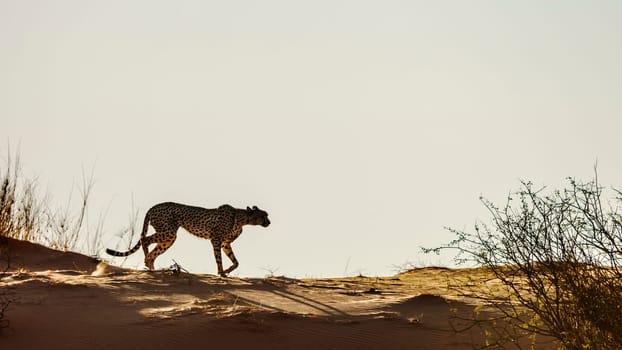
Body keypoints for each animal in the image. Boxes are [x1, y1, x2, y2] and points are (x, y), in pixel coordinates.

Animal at [106, 202, 270, 276]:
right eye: (263, 215)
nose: (269, 222)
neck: (242, 218)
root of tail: (154, 206)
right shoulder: (216, 240)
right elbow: (219, 259)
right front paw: (221, 272)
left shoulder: (225, 243)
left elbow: (236, 262)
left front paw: (227, 271)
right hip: (169, 232)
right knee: (144, 240)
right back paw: (148, 264)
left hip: (169, 238)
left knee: (152, 251)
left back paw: (151, 266)